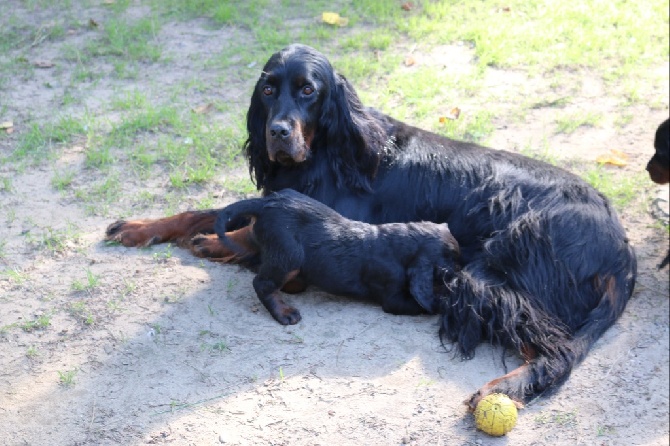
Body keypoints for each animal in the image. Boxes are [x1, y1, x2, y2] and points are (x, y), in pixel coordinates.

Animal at [215, 188, 462, 324]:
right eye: (447, 271)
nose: (461, 282)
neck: (401, 245)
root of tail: (265, 203)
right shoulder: (392, 298)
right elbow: (422, 303)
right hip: (288, 254)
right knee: (263, 284)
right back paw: (284, 313)